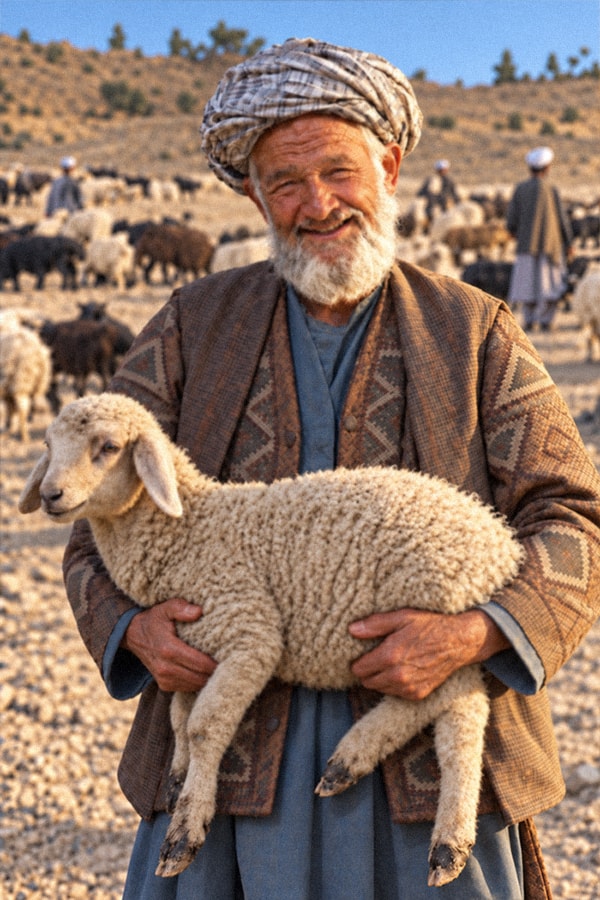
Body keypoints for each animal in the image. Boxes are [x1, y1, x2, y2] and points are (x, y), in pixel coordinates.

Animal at [19, 392, 524, 887]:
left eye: (107, 447)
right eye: (47, 445)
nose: (50, 495)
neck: (188, 531)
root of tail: (502, 541)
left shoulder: (249, 632)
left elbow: (204, 726)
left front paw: (185, 829)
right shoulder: (188, 646)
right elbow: (180, 717)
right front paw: (179, 774)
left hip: (429, 624)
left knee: (457, 714)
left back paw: (443, 837)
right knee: (446, 706)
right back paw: (353, 765)